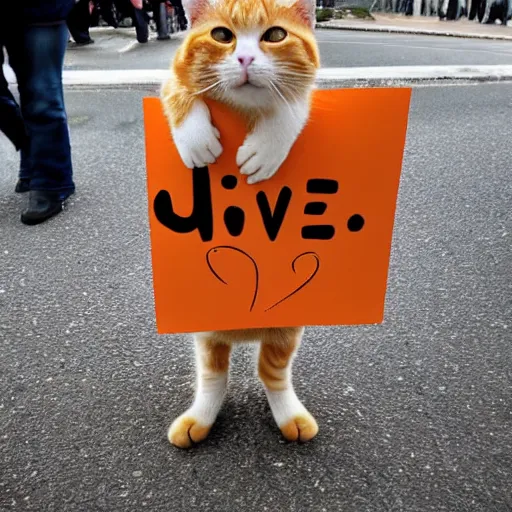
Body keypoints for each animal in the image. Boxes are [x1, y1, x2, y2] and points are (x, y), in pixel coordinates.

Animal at [160, 0, 320, 448]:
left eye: (276, 35)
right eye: (221, 35)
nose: (245, 59)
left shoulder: (305, 96)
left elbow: (291, 106)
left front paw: (266, 147)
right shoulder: (170, 78)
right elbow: (177, 90)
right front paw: (197, 139)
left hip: (285, 327)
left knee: (273, 371)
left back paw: (289, 415)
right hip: (208, 328)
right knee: (214, 372)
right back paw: (200, 417)